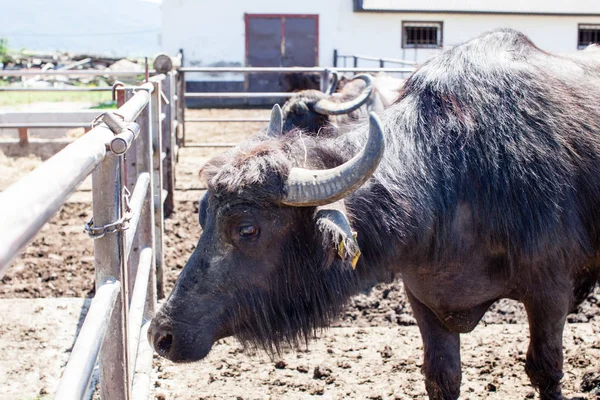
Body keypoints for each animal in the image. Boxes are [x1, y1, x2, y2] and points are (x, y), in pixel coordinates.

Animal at [149, 28, 600, 400]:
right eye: (204, 216)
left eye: (246, 229)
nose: (161, 335)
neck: (456, 180)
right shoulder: (424, 298)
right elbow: (442, 377)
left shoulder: (549, 293)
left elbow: (545, 370)